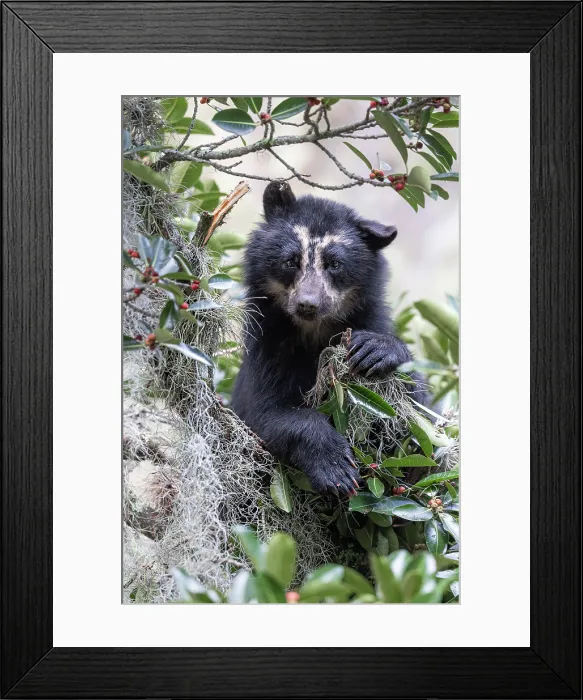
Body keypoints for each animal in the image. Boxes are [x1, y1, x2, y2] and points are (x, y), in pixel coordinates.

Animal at [231, 181, 420, 495]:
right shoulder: (268, 346)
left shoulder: (369, 318)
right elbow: (267, 411)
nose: (308, 304)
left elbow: (417, 409)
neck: (314, 331)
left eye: (335, 264)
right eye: (290, 261)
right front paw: (337, 471)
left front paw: (374, 350)